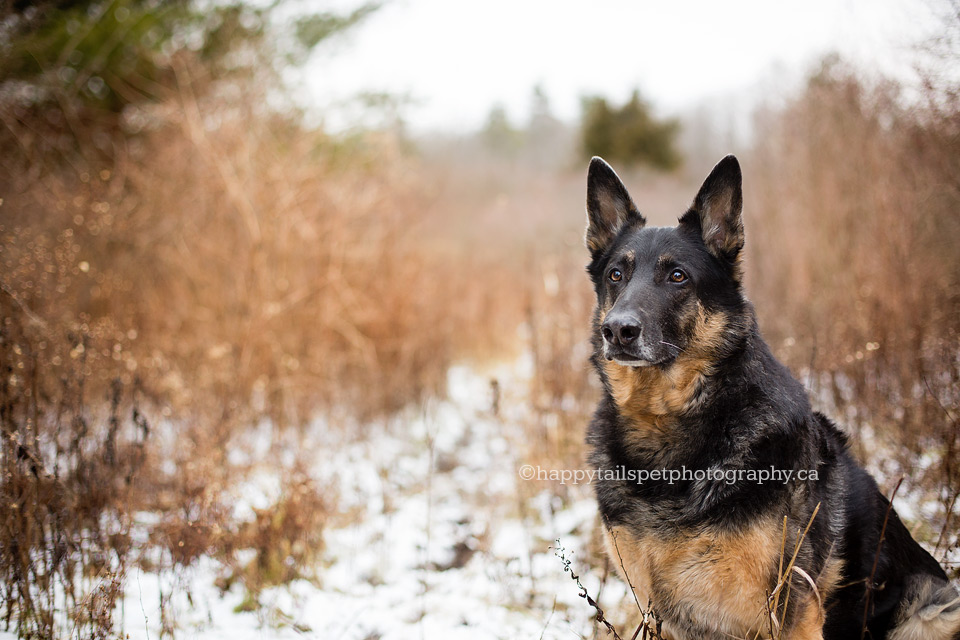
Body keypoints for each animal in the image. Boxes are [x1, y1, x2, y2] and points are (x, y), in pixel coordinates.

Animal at [584, 156, 960, 640]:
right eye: (616, 274)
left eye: (677, 276)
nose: (617, 330)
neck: (668, 427)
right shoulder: (656, 611)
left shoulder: (793, 610)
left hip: (937, 606)